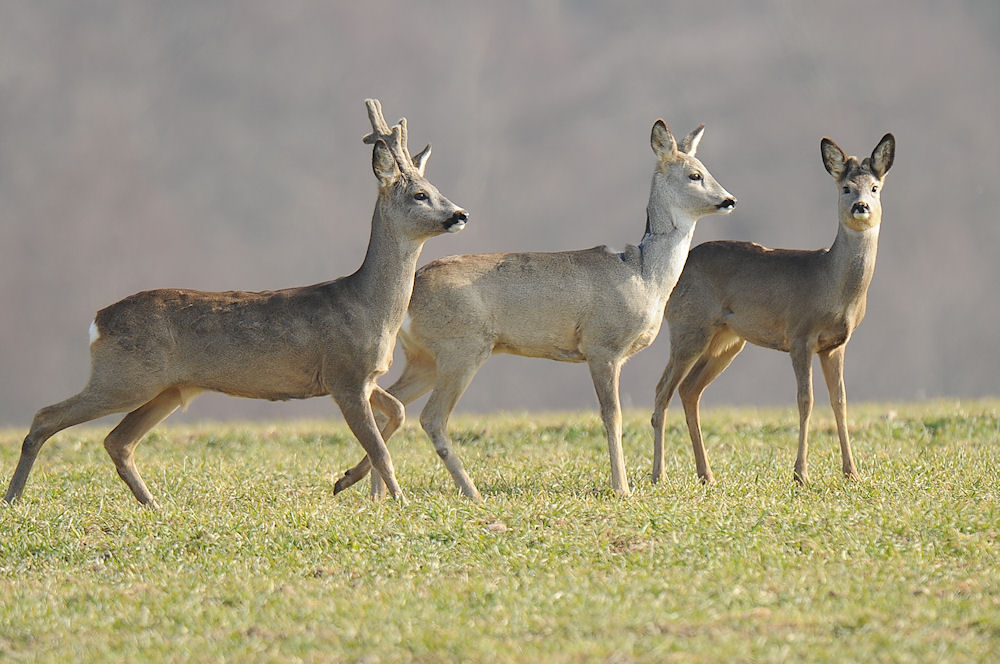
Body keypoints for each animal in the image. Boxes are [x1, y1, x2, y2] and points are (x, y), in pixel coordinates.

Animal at [3, 98, 468, 506]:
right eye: (420, 195)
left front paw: (344, 481)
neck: (369, 306)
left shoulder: (364, 378)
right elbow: (382, 451)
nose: (461, 214)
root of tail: (97, 320)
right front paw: (400, 501)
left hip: (166, 388)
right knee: (46, 417)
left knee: (117, 440)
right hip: (124, 376)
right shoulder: (345, 374)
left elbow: (398, 415)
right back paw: (14, 498)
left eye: (437, 188)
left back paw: (152, 503)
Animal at [336, 120, 736, 504]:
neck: (643, 274)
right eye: (694, 175)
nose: (729, 199)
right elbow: (613, 416)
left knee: (390, 403)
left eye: (706, 169)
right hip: (461, 348)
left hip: (424, 358)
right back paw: (469, 492)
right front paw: (621, 488)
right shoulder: (601, 346)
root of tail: (411, 294)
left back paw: (362, 488)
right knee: (431, 417)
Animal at [652, 132, 896, 486]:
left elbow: (840, 400)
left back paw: (706, 474)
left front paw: (852, 472)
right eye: (846, 187)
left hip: (727, 341)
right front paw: (801, 473)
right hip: (689, 328)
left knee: (689, 389)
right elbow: (805, 400)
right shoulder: (799, 335)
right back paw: (659, 474)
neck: (831, 283)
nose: (860, 206)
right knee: (663, 389)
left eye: (875, 187)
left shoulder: (836, 344)